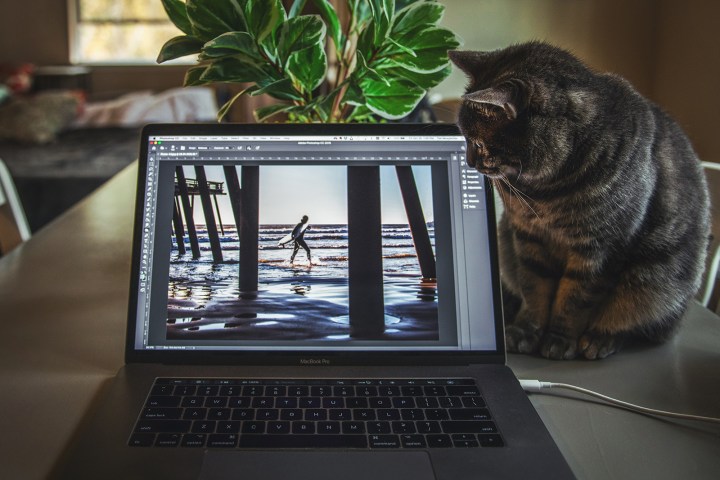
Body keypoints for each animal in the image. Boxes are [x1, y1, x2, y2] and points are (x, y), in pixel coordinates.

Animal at [448, 43, 712, 360]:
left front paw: (559, 339)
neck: (545, 191)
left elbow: (574, 300)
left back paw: (600, 339)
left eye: (476, 143)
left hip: (655, 279)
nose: (468, 162)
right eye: (463, 138)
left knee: (635, 323)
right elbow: (534, 290)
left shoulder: (600, 249)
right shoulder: (527, 237)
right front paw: (525, 331)